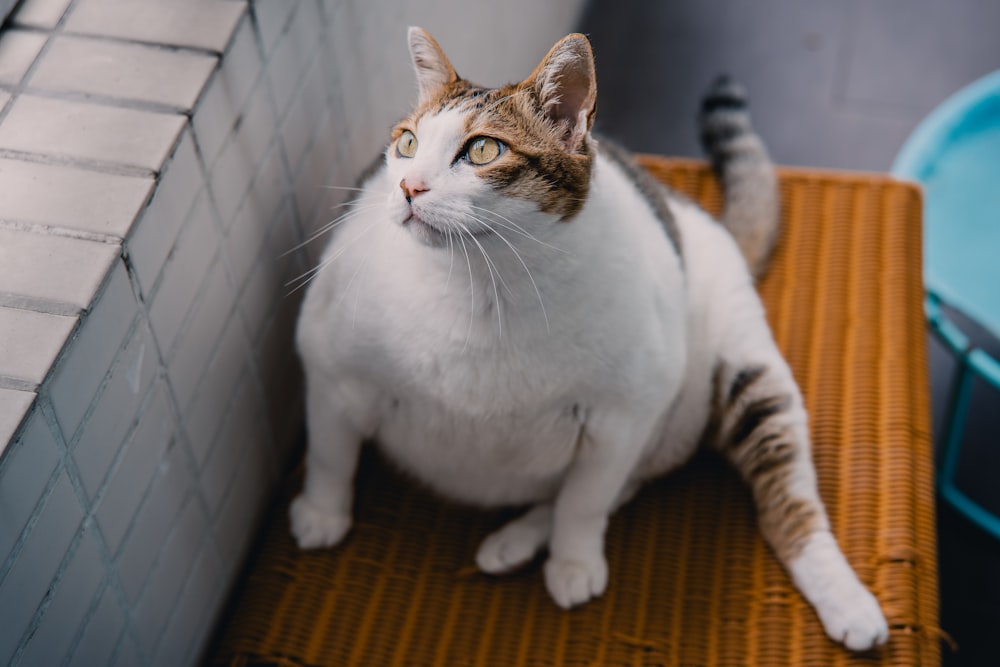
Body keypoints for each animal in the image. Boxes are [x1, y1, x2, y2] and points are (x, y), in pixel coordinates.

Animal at [292, 27, 892, 652]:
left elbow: (586, 500)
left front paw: (574, 561)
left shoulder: (622, 416)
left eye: (482, 151)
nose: (409, 186)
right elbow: (330, 451)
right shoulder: (328, 362)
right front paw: (321, 514)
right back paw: (513, 542)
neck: (482, 285)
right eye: (407, 143)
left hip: (747, 372)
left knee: (783, 498)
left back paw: (847, 601)